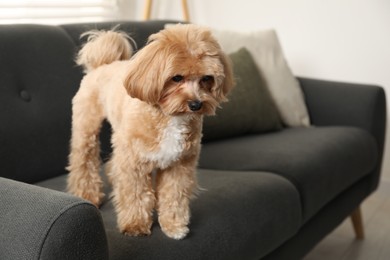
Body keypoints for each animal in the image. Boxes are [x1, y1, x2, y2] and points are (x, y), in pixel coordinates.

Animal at [66, 24, 235, 240]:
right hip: (87, 128)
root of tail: (103, 63)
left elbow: (174, 195)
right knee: (83, 160)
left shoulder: (179, 165)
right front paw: (135, 225)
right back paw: (88, 194)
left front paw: (174, 225)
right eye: (176, 78)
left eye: (207, 78)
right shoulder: (133, 163)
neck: (169, 116)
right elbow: (136, 194)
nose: (196, 104)